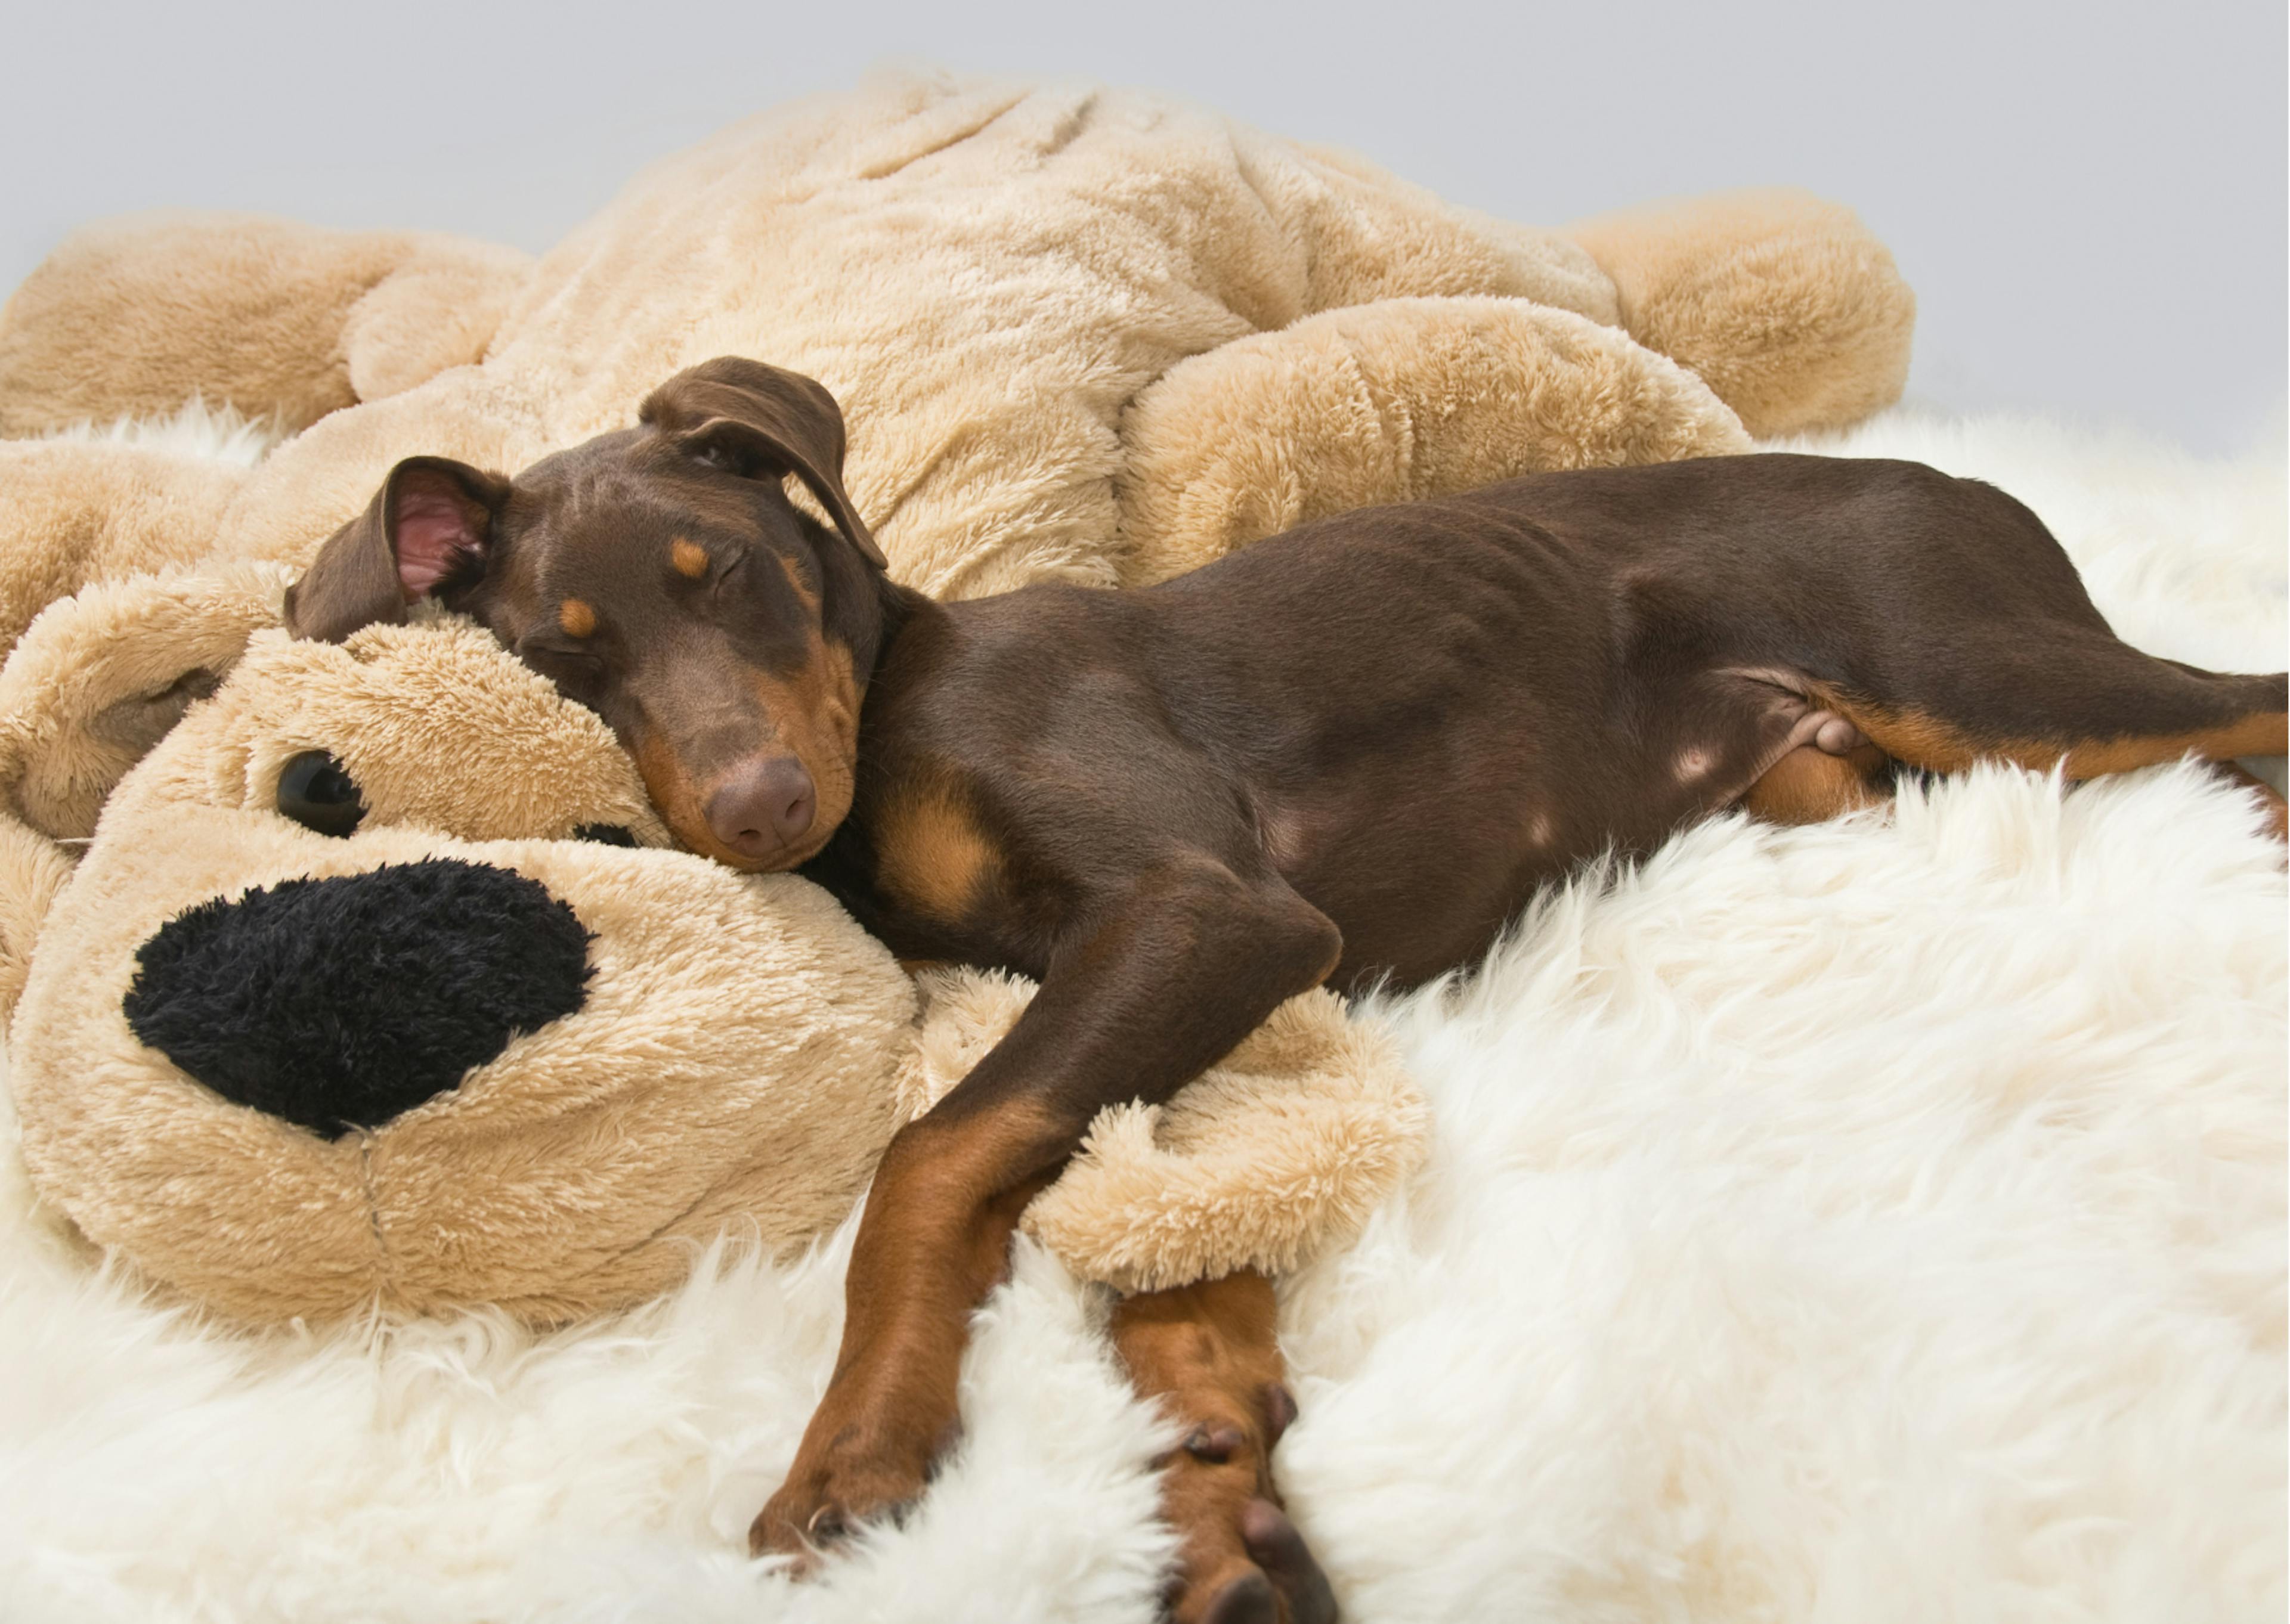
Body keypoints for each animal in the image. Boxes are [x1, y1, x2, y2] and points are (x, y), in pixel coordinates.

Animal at [290, 357, 2290, 1622]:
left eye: (741, 580)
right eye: (573, 658)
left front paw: (859, 1445)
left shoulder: (1204, 908)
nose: (765, 811)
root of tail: (1958, 473)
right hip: (1850, 770)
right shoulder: (1165, 992)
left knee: (2243, 699)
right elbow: (1159, 1227)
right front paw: (1217, 1494)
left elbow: (931, 1159)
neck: (891, 707)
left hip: (1976, 668)